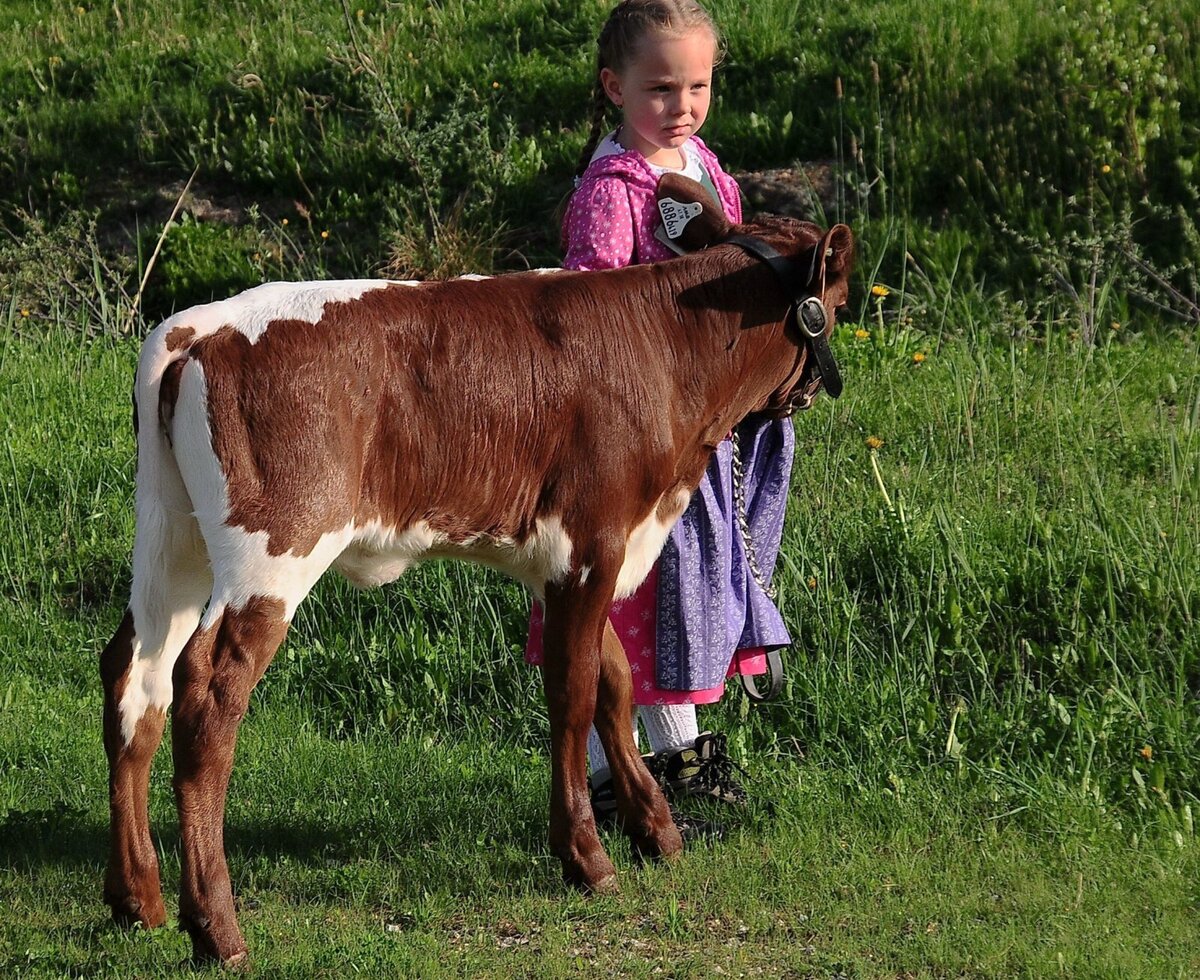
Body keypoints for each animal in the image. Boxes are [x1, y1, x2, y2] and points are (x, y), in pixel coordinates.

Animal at [99, 174, 853, 964]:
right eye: (839, 301)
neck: (666, 349)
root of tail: (197, 329)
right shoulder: (593, 543)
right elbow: (575, 692)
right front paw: (587, 856)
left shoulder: (568, 560)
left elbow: (613, 683)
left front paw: (655, 827)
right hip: (273, 551)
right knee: (205, 695)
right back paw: (215, 927)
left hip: (172, 540)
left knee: (134, 675)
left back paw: (138, 899)